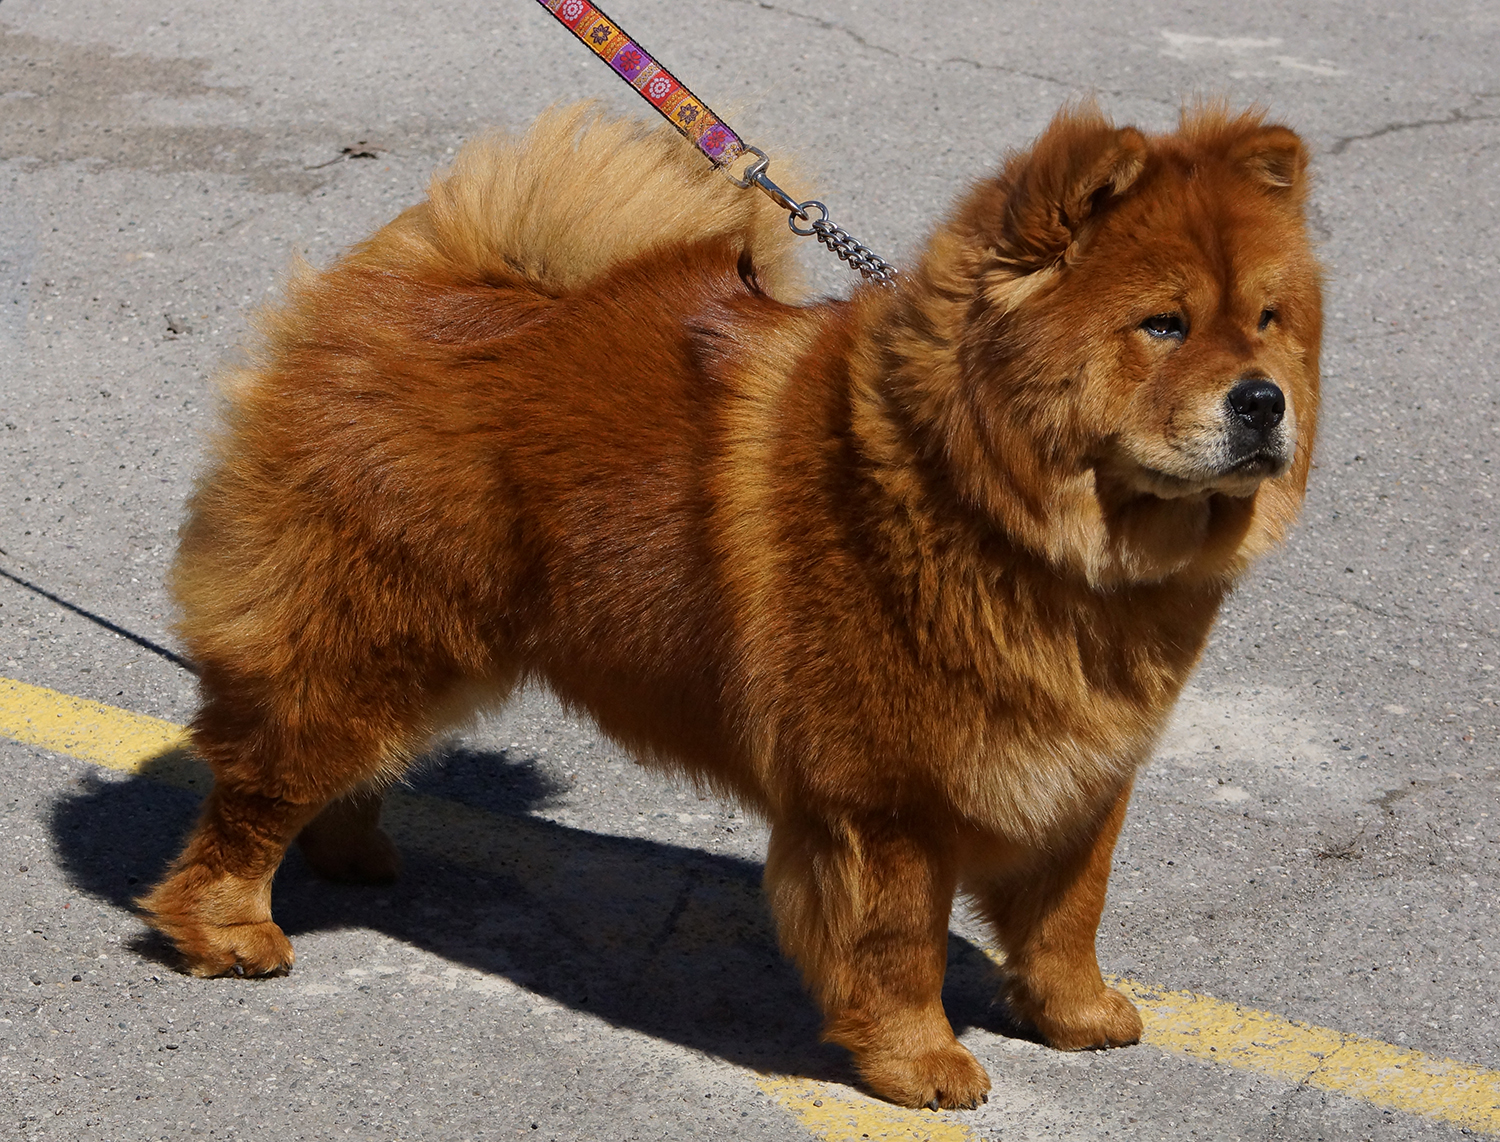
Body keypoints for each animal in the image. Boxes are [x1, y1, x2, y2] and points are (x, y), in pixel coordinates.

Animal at [141, 101, 1322, 1109]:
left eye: (1268, 321)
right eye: (1162, 325)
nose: (1264, 400)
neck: (993, 511)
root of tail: (398, 277)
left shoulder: (1086, 769)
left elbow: (1070, 909)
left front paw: (1077, 1014)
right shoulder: (885, 797)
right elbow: (901, 943)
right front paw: (924, 1064)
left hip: (439, 646)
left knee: (343, 763)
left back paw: (352, 853)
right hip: (362, 636)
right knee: (259, 785)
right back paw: (231, 932)